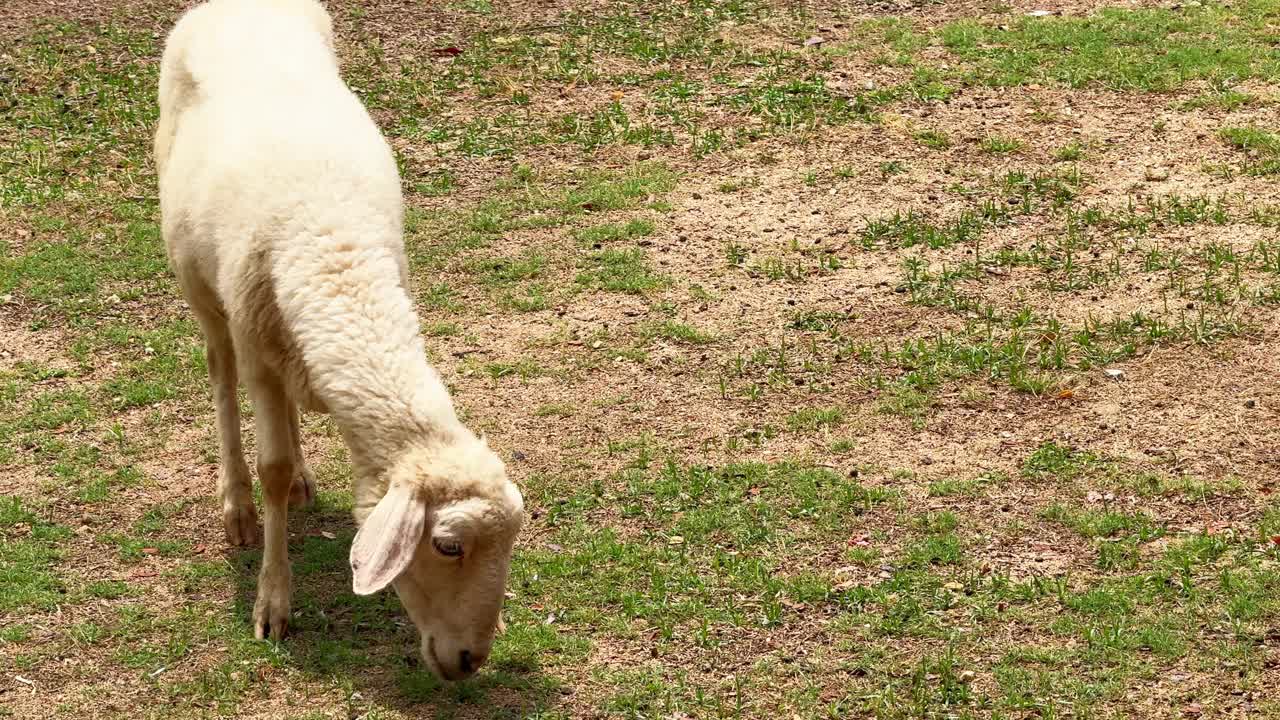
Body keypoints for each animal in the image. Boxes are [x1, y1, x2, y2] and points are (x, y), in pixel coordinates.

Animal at [156, 0, 524, 676]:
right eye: (447, 546)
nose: (470, 660)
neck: (335, 248)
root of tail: (233, 6)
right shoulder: (255, 348)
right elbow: (270, 466)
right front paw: (273, 602)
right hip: (201, 286)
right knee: (220, 375)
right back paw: (237, 504)